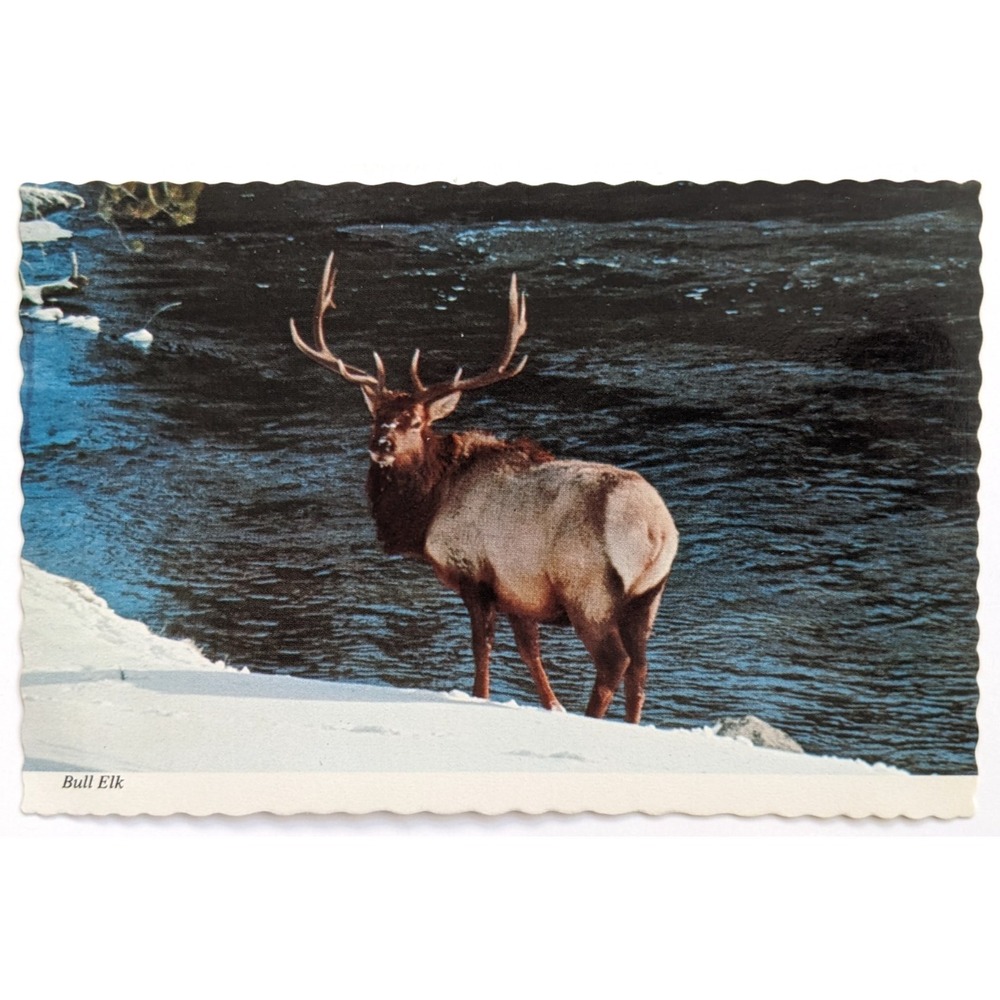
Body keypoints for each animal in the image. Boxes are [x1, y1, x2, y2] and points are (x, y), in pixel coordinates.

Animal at [290, 253, 678, 724]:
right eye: (376, 416)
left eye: (415, 422)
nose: (380, 445)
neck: (429, 510)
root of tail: (656, 529)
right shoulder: (519, 591)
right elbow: (530, 653)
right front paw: (552, 706)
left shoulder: (475, 573)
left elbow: (482, 648)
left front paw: (482, 697)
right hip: (648, 596)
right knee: (640, 667)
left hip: (589, 587)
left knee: (613, 662)